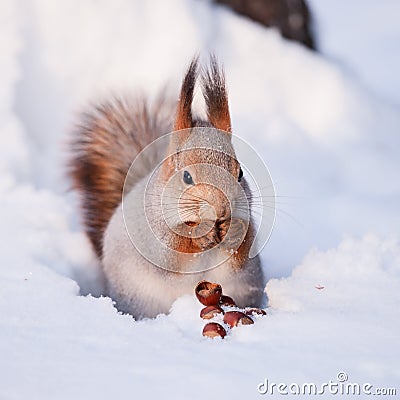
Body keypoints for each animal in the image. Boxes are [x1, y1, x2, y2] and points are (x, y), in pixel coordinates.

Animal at [70, 57, 264, 318]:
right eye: (186, 177)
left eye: (241, 173)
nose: (222, 209)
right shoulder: (151, 235)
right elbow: (172, 254)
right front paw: (198, 235)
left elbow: (243, 253)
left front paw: (234, 230)